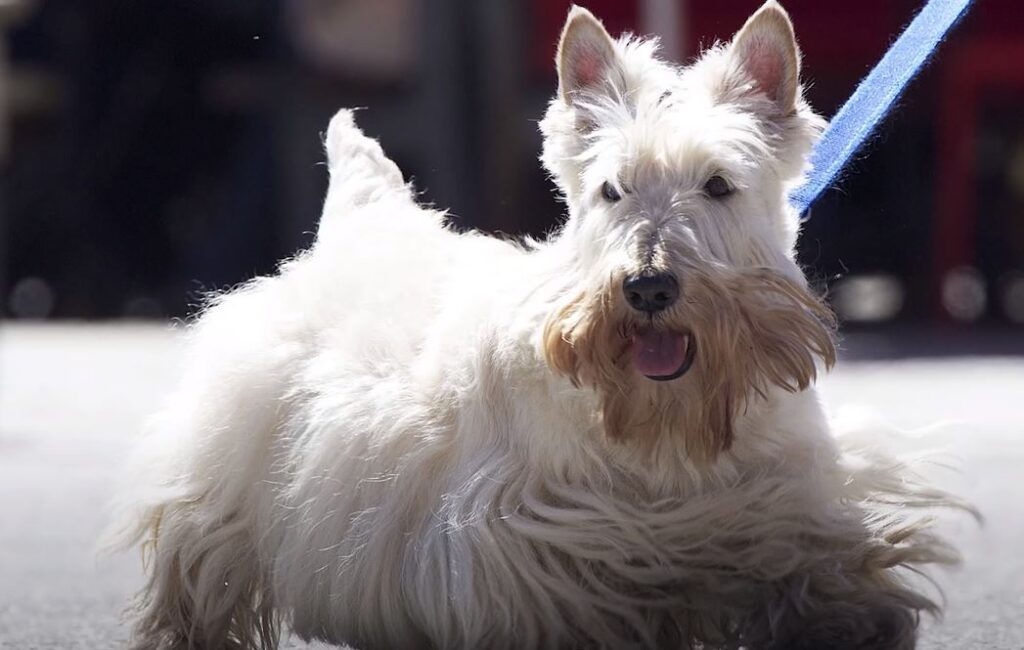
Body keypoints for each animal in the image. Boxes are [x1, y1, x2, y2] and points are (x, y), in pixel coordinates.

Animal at [116, 2, 970, 646]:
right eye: (612, 190)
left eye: (719, 185)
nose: (649, 286)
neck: (669, 425)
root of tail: (358, 221)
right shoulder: (519, 537)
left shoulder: (791, 486)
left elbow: (815, 546)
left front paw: (849, 611)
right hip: (224, 471)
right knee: (197, 564)